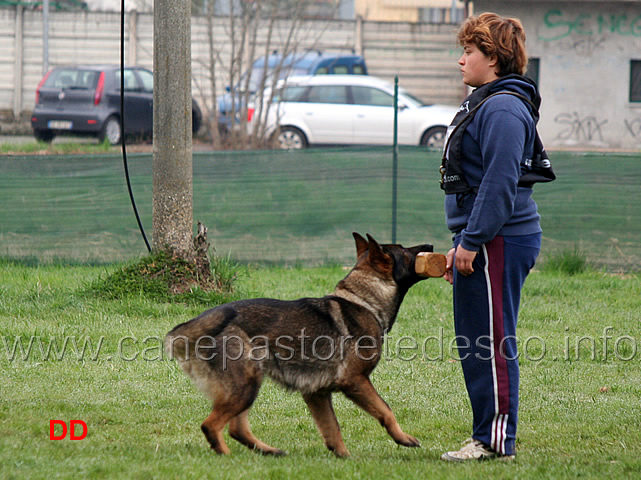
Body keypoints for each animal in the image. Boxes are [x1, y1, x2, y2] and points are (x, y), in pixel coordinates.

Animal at [165, 232, 436, 458]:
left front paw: (344, 458)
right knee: (211, 425)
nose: (431, 245)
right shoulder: (355, 381)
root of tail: (199, 322)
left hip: (246, 387)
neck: (364, 301)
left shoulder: (317, 394)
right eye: (404, 251)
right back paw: (227, 457)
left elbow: (332, 429)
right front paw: (403, 438)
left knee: (236, 428)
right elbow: (386, 410)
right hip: (245, 386)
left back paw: (269, 451)